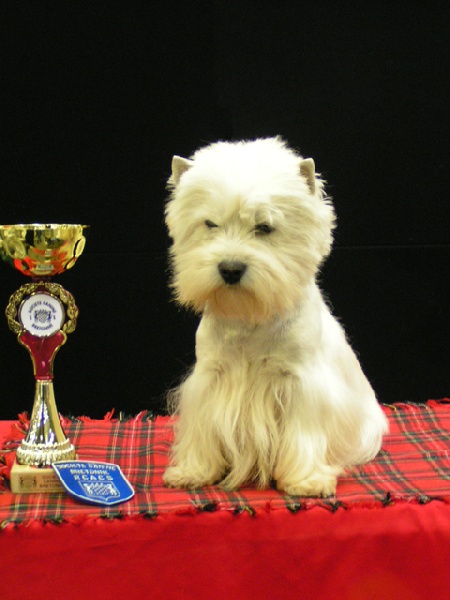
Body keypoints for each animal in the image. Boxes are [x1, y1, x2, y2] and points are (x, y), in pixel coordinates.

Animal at [163, 137, 388, 496]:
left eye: (264, 227)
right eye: (210, 224)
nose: (230, 268)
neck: (249, 317)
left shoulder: (299, 383)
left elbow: (303, 435)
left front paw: (306, 481)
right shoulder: (211, 375)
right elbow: (201, 431)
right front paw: (192, 471)